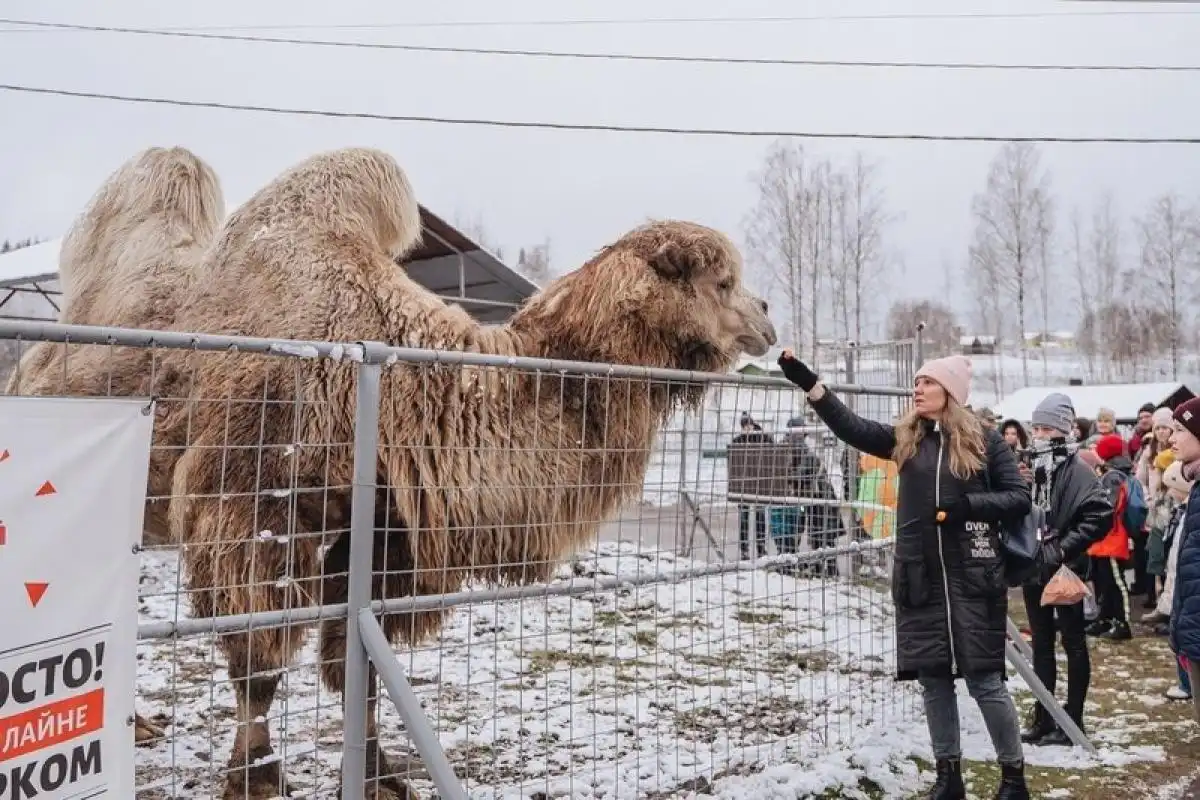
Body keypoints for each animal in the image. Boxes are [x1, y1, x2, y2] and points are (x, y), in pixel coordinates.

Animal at [154, 146, 772, 796]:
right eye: (722, 282)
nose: (767, 317)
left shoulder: (388, 531)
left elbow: (358, 663)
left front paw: (379, 778)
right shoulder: (250, 502)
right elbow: (258, 663)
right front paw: (254, 780)